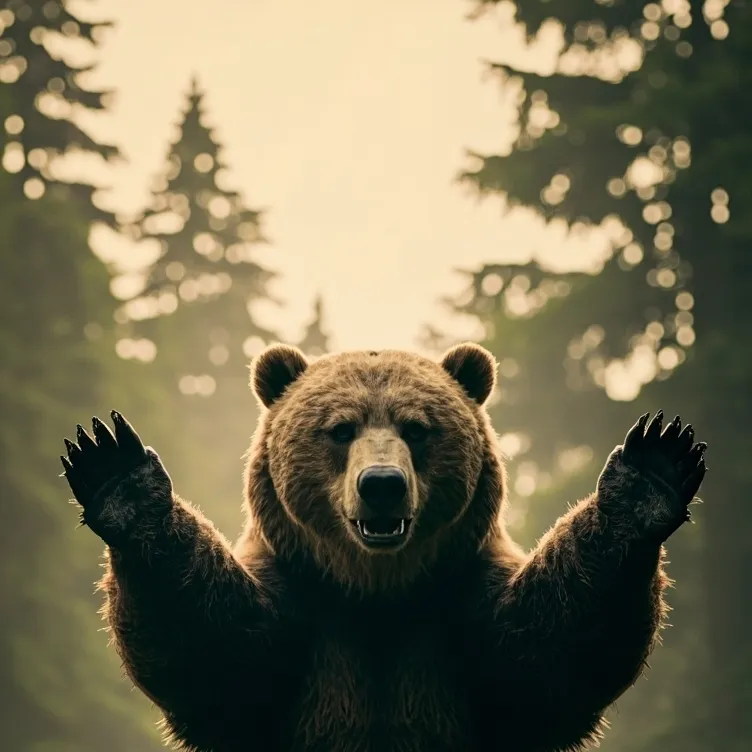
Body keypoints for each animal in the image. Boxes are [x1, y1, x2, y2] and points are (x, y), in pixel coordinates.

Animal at [59, 342, 707, 752]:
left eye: (418, 428)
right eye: (340, 428)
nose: (382, 485)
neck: (376, 589)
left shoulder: (461, 607)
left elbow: (552, 650)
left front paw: (652, 467)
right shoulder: (299, 608)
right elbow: (211, 648)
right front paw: (115, 470)